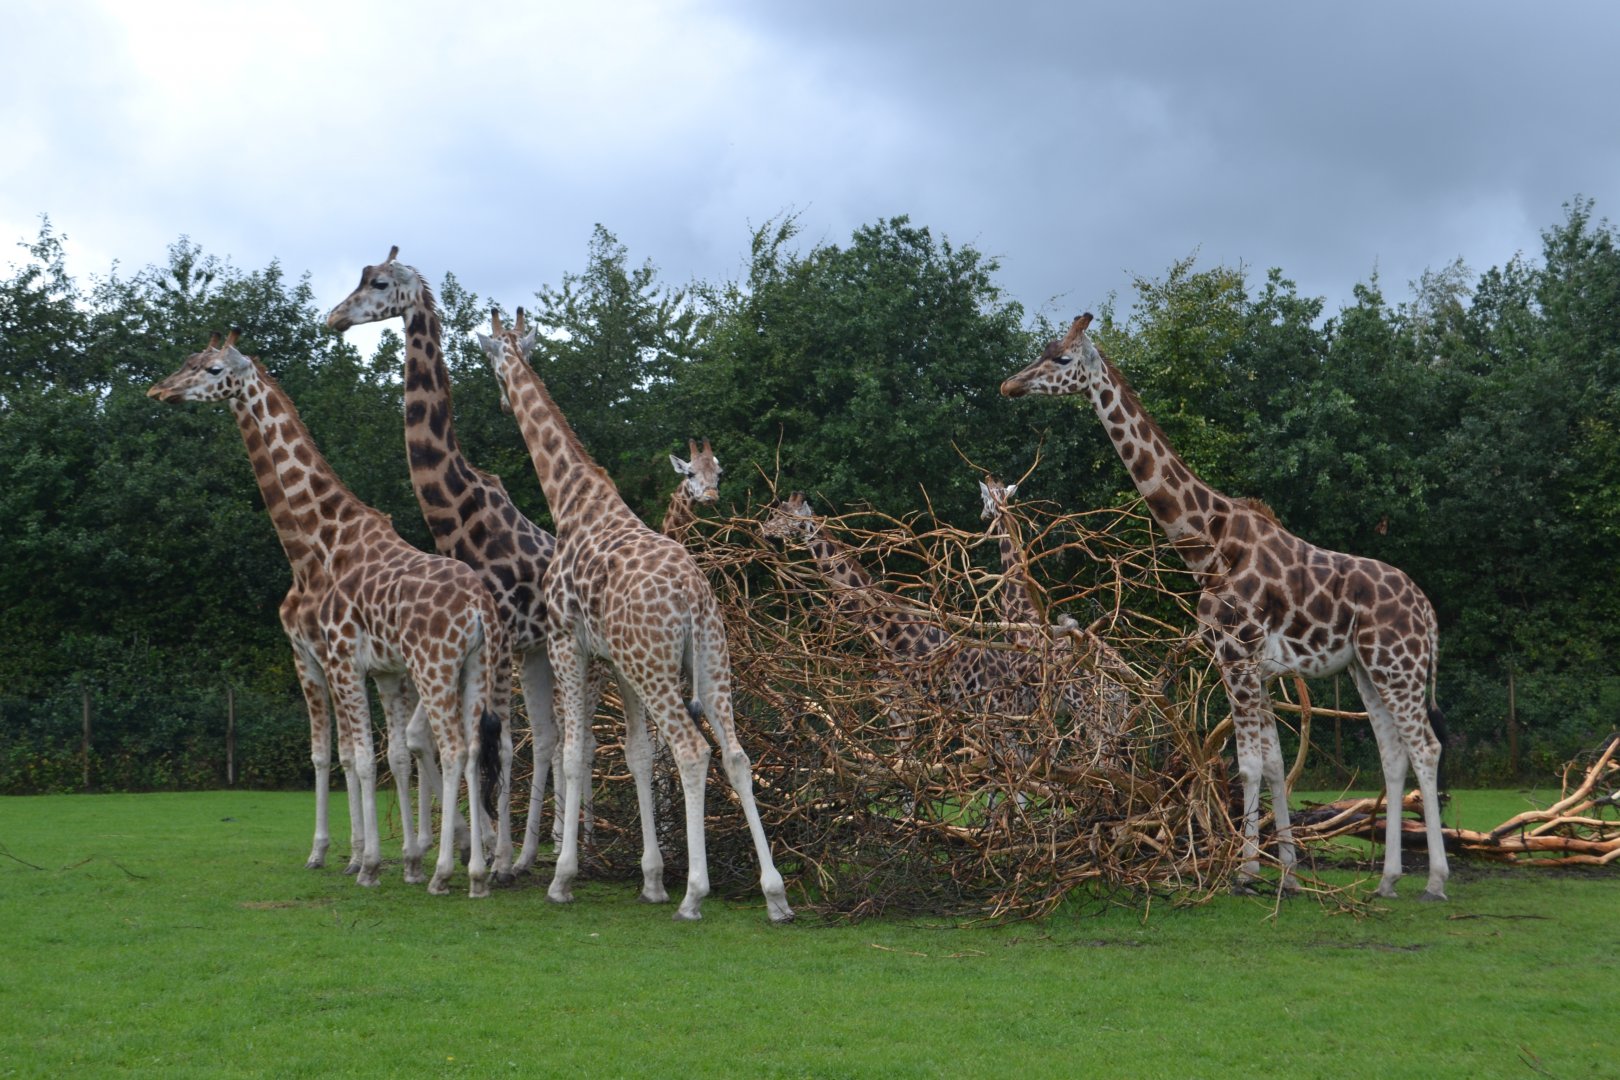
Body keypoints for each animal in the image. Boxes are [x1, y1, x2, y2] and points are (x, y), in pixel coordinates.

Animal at [149, 333, 507, 897]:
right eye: (187, 361)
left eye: (211, 370)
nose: (160, 391)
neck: (316, 546)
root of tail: (478, 609)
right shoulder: (371, 669)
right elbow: (365, 755)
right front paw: (383, 857)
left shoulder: (330, 660)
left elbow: (352, 757)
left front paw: (362, 862)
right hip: (472, 668)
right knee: (471, 749)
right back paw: (477, 869)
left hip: (434, 668)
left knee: (453, 749)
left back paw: (450, 869)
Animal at [325, 247, 605, 877]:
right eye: (359, 278)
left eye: (380, 284)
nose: (334, 318)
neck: (461, 518)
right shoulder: (498, 646)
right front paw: (479, 847)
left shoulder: (494, 643)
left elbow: (491, 743)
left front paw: (487, 856)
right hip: (535, 654)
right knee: (552, 737)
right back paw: (539, 849)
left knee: (585, 735)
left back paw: (570, 843)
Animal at [478, 308, 793, 922]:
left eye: (489, 358)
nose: (500, 401)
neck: (573, 502)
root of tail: (693, 598)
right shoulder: (618, 662)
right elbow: (639, 754)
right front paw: (651, 879)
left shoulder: (568, 643)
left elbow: (575, 753)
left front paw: (564, 878)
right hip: (710, 662)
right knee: (736, 755)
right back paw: (775, 894)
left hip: (658, 668)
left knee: (693, 751)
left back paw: (695, 894)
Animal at [1001, 313, 1450, 900]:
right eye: (1043, 349)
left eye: (1061, 358)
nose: (1010, 385)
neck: (1208, 546)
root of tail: (1429, 614)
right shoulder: (1258, 666)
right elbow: (1277, 763)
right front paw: (1287, 871)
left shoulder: (1235, 653)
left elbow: (1250, 765)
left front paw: (1246, 871)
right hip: (1366, 669)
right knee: (1394, 755)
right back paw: (1389, 878)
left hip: (1399, 664)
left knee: (1427, 749)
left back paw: (1436, 880)